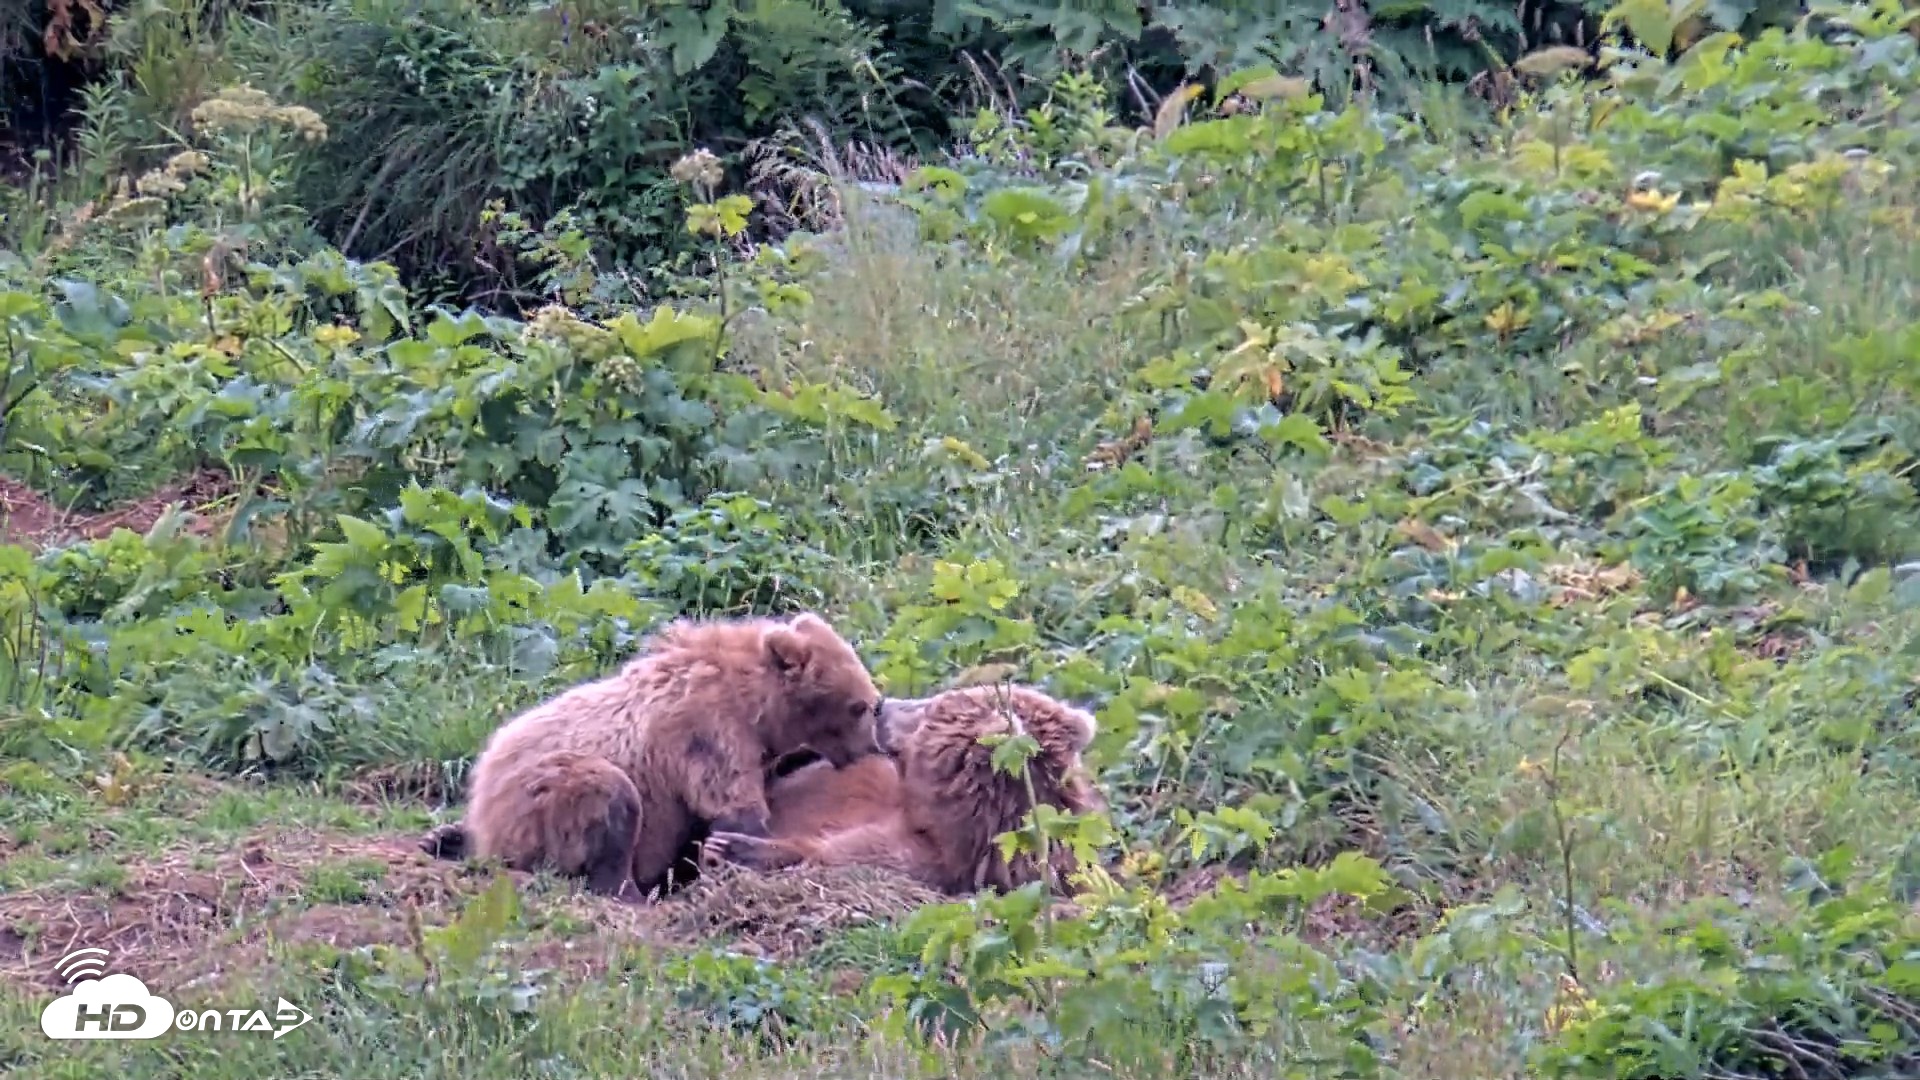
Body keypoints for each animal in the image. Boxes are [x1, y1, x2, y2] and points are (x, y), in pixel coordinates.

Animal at [420, 611, 884, 899]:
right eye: (860, 706)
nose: (871, 747)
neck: (756, 706)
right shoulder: (707, 732)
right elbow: (733, 802)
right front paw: (734, 849)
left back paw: (444, 838)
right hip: (542, 799)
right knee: (610, 797)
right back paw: (628, 890)